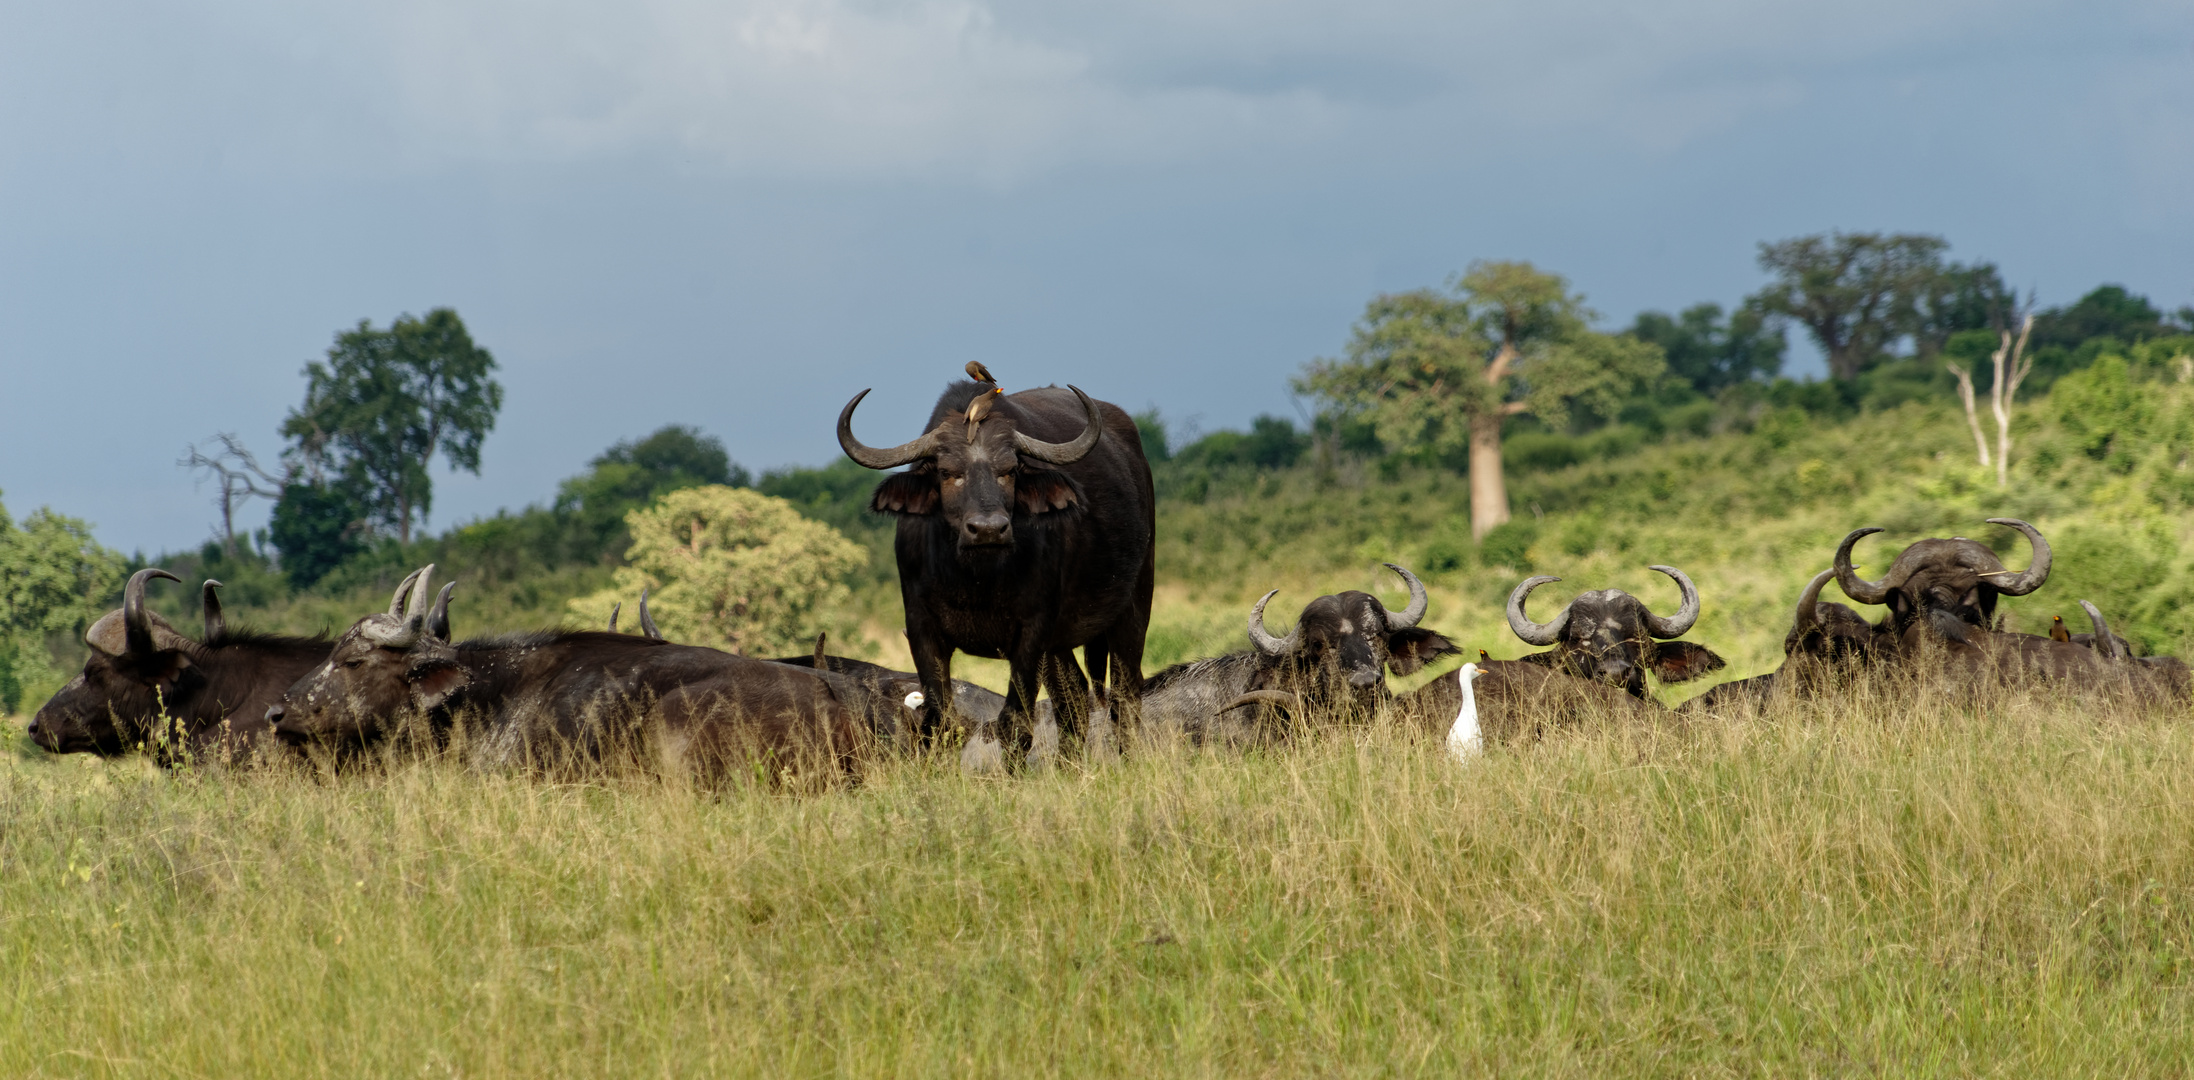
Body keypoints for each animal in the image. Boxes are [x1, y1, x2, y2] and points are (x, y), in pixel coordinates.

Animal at [833, 375, 1158, 763]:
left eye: (1010, 471)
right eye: (947, 472)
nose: (988, 529)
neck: (976, 580)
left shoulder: (1033, 633)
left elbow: (1015, 721)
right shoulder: (921, 627)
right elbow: (938, 718)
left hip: (1135, 600)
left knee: (1125, 692)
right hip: (1062, 642)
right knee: (1075, 697)